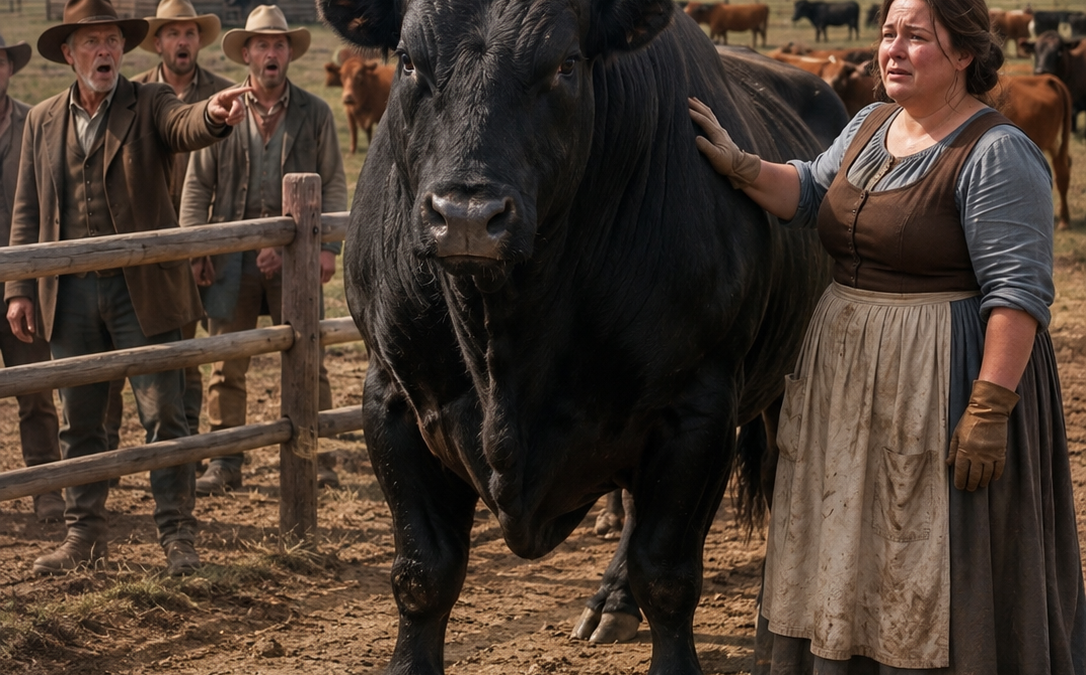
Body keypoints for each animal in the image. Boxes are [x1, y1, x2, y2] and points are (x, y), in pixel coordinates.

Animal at [317, 0, 848, 672]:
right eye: (408, 60)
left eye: (566, 64)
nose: (466, 217)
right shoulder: (392, 397)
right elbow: (423, 573)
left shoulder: (697, 409)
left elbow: (667, 573)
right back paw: (614, 603)